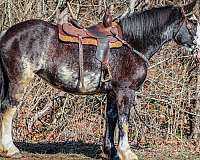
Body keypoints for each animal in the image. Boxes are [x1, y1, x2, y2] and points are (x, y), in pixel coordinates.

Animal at [0, 0, 200, 159]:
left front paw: (111, 151)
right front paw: (126, 152)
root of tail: (7, 34)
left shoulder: (112, 91)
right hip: (19, 80)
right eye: (193, 22)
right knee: (9, 108)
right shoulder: (125, 90)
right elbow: (124, 119)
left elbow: (111, 118)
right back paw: (10, 149)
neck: (132, 43)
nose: (197, 50)